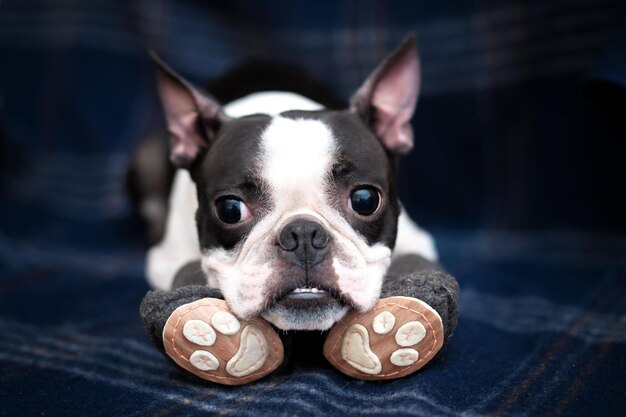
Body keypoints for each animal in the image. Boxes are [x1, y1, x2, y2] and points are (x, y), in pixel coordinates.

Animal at [140, 35, 458, 384]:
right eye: (230, 209)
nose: (303, 234)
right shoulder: (165, 259)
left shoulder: (418, 240)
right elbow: (185, 273)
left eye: (365, 200)